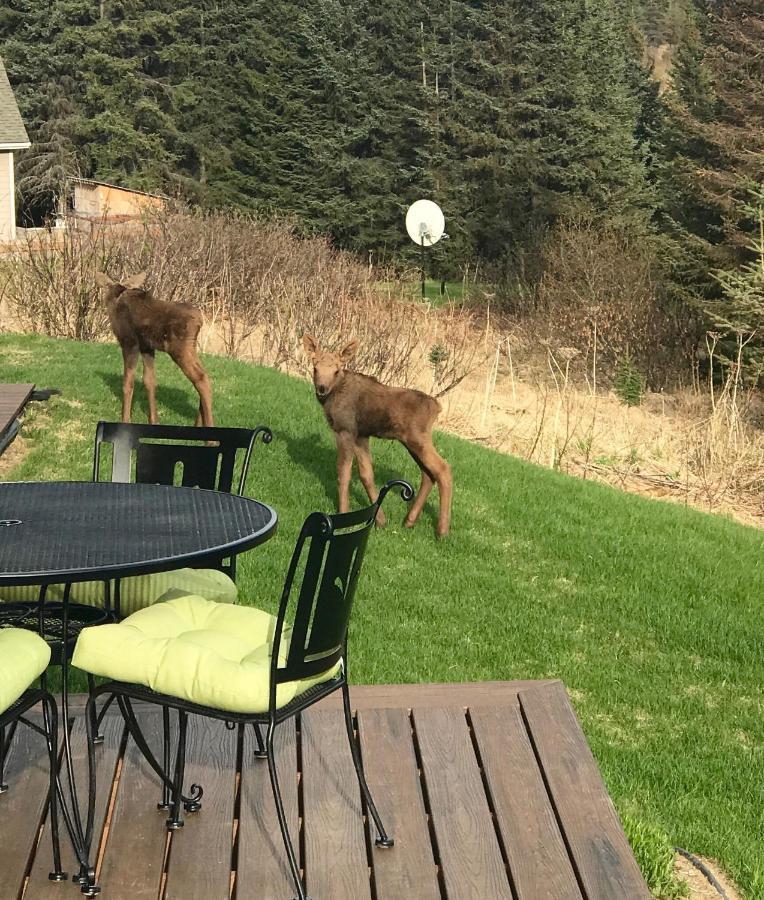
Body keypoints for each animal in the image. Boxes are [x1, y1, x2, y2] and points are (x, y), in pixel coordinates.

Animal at [97, 270, 215, 428]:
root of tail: (200, 321)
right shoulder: (147, 347)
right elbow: (149, 381)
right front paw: (154, 420)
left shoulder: (129, 342)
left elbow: (128, 382)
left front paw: (125, 419)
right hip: (190, 347)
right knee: (204, 375)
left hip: (179, 348)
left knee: (201, 378)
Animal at [300, 336, 454, 536]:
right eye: (315, 367)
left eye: (336, 370)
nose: (322, 388)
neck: (332, 398)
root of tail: (437, 407)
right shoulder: (361, 435)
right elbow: (366, 474)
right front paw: (380, 520)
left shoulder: (345, 430)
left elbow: (344, 473)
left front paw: (343, 513)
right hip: (411, 441)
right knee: (428, 474)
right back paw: (409, 521)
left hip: (417, 438)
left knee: (443, 469)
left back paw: (442, 530)